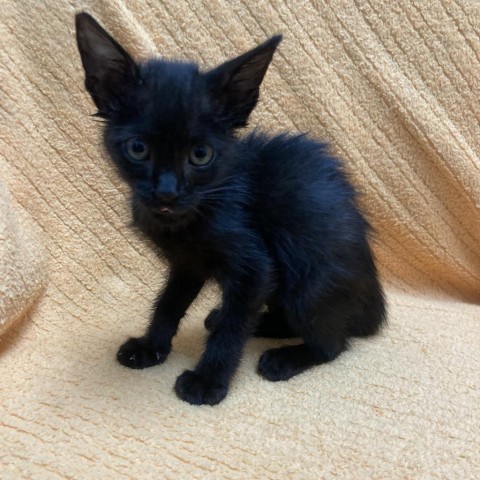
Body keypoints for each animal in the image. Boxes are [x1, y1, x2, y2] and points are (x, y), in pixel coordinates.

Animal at [77, 14, 388, 404]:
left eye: (200, 154)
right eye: (138, 148)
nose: (166, 193)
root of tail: (372, 305)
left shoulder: (254, 267)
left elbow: (232, 327)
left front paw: (207, 380)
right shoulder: (187, 264)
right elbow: (168, 304)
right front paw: (151, 347)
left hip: (309, 281)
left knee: (332, 343)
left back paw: (285, 357)